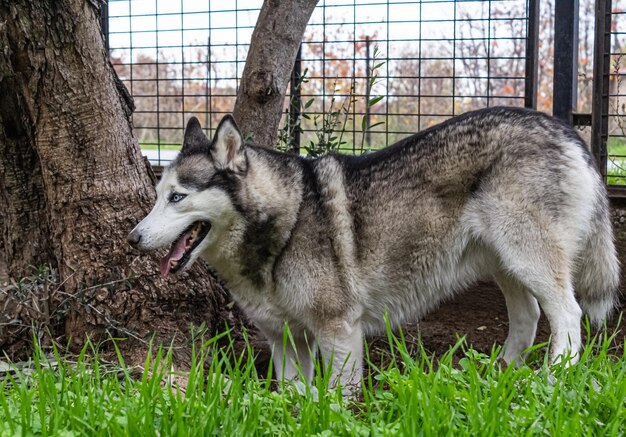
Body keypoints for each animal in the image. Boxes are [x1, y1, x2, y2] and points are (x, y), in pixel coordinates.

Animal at [128, 108, 620, 388]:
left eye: (178, 198)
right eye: (157, 196)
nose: (134, 238)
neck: (285, 221)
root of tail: (564, 128)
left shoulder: (339, 333)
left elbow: (337, 398)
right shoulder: (286, 341)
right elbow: (293, 396)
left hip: (527, 257)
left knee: (568, 314)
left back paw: (553, 379)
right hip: (506, 263)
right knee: (528, 316)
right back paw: (500, 375)